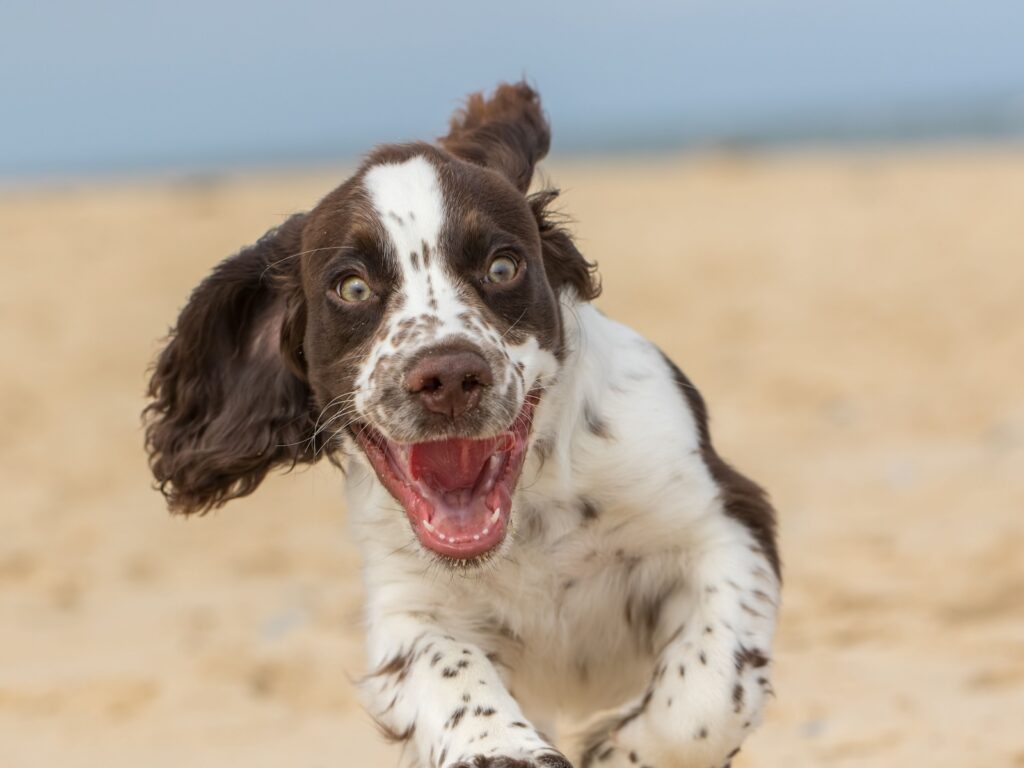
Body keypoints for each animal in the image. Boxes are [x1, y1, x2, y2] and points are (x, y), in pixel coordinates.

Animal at [144, 82, 778, 768]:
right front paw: (507, 748)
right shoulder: (407, 607)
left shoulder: (722, 521)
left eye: (503, 268)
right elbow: (449, 672)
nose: (447, 376)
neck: (527, 524)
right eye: (352, 287)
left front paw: (616, 749)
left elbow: (705, 700)